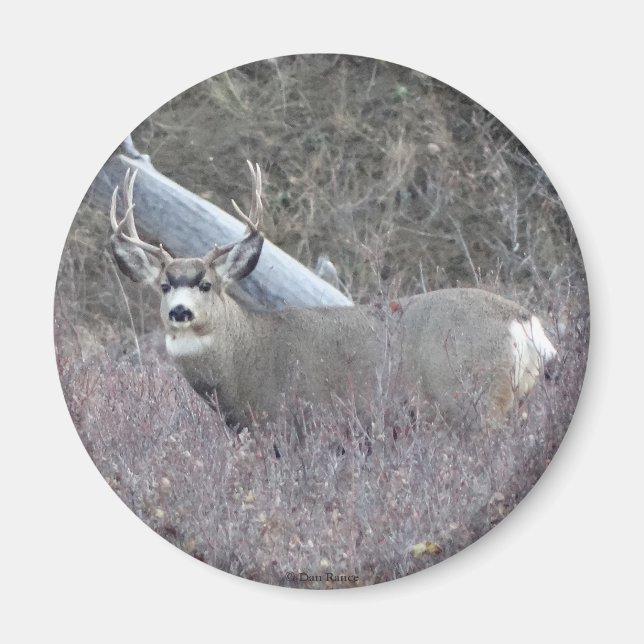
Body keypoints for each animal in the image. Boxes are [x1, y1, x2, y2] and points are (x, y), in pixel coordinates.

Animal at [110, 162, 557, 428]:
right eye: (164, 285)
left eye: (206, 284)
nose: (180, 312)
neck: (246, 360)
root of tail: (523, 321)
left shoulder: (294, 423)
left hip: (475, 401)